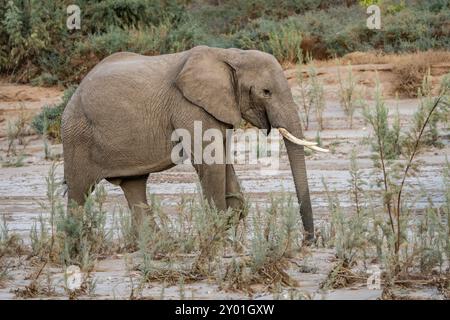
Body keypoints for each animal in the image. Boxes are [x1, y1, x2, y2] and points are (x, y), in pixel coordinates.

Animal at [61, 45, 326, 242]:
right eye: (266, 91)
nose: (308, 240)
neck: (230, 55)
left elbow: (222, 160)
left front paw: (228, 222)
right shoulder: (189, 107)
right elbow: (211, 162)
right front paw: (219, 237)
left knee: (134, 186)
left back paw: (157, 246)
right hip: (77, 136)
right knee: (78, 192)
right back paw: (77, 247)